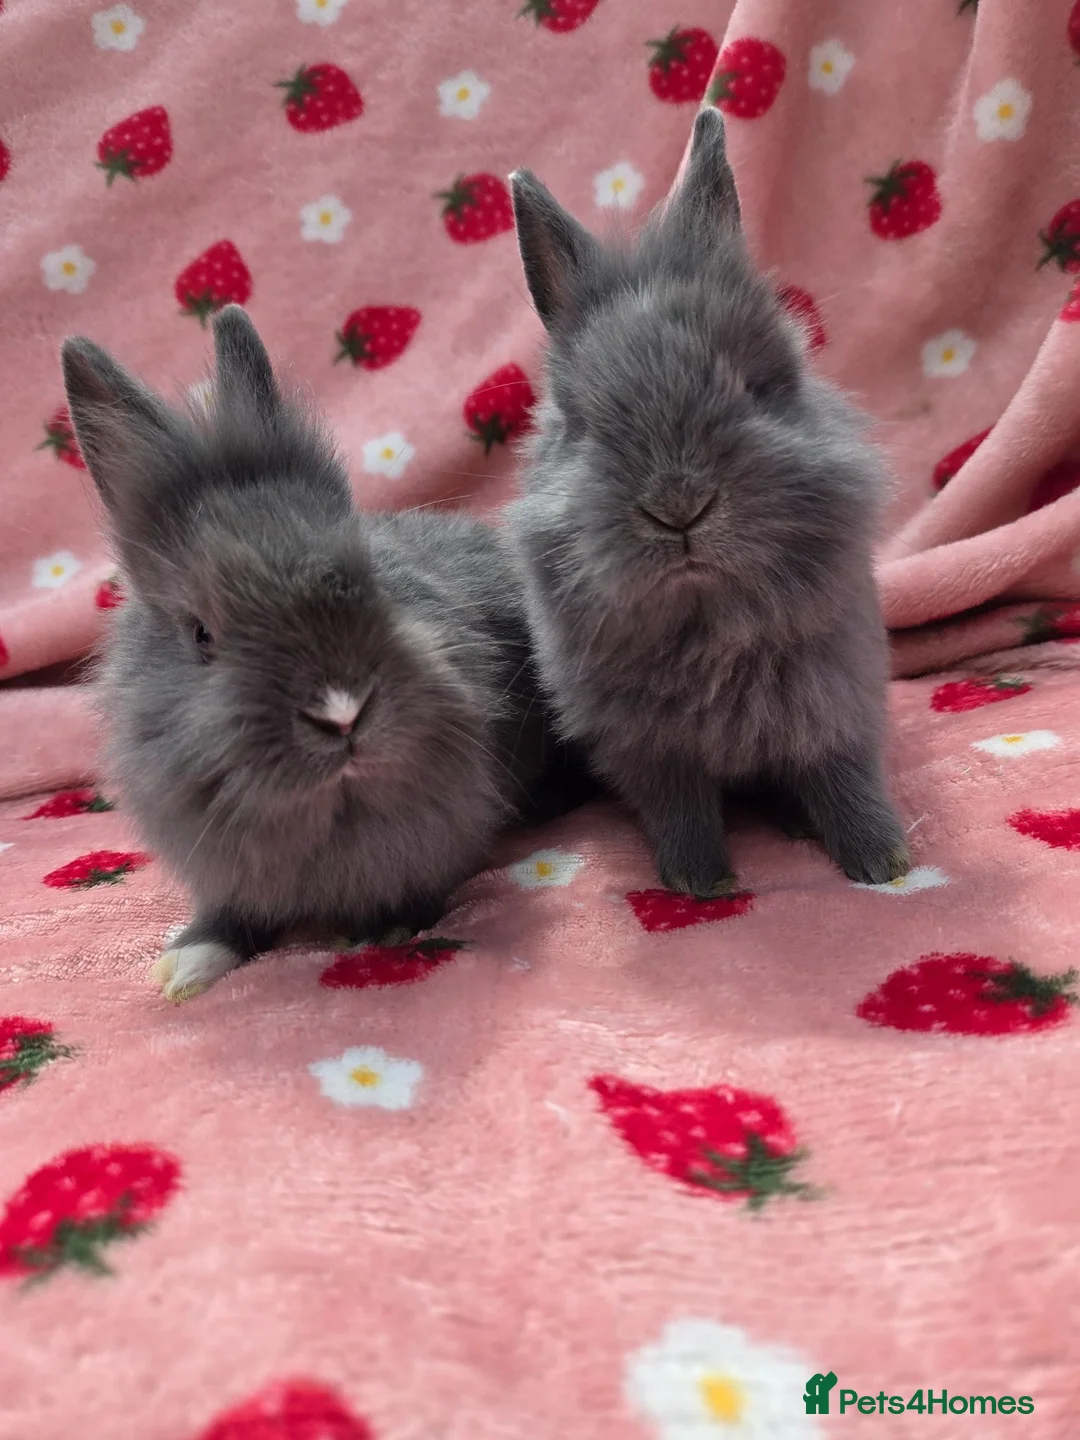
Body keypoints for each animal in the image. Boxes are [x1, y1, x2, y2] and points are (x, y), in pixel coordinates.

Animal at [62, 305, 568, 1000]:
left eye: (371, 577)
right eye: (201, 634)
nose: (341, 710)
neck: (328, 803)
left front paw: (383, 929)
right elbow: (230, 918)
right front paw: (183, 964)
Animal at [504, 106, 910, 901]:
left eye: (756, 387)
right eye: (583, 423)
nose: (679, 505)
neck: (710, 623)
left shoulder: (837, 701)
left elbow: (845, 781)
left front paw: (885, 864)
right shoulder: (650, 751)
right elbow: (681, 811)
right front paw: (702, 884)